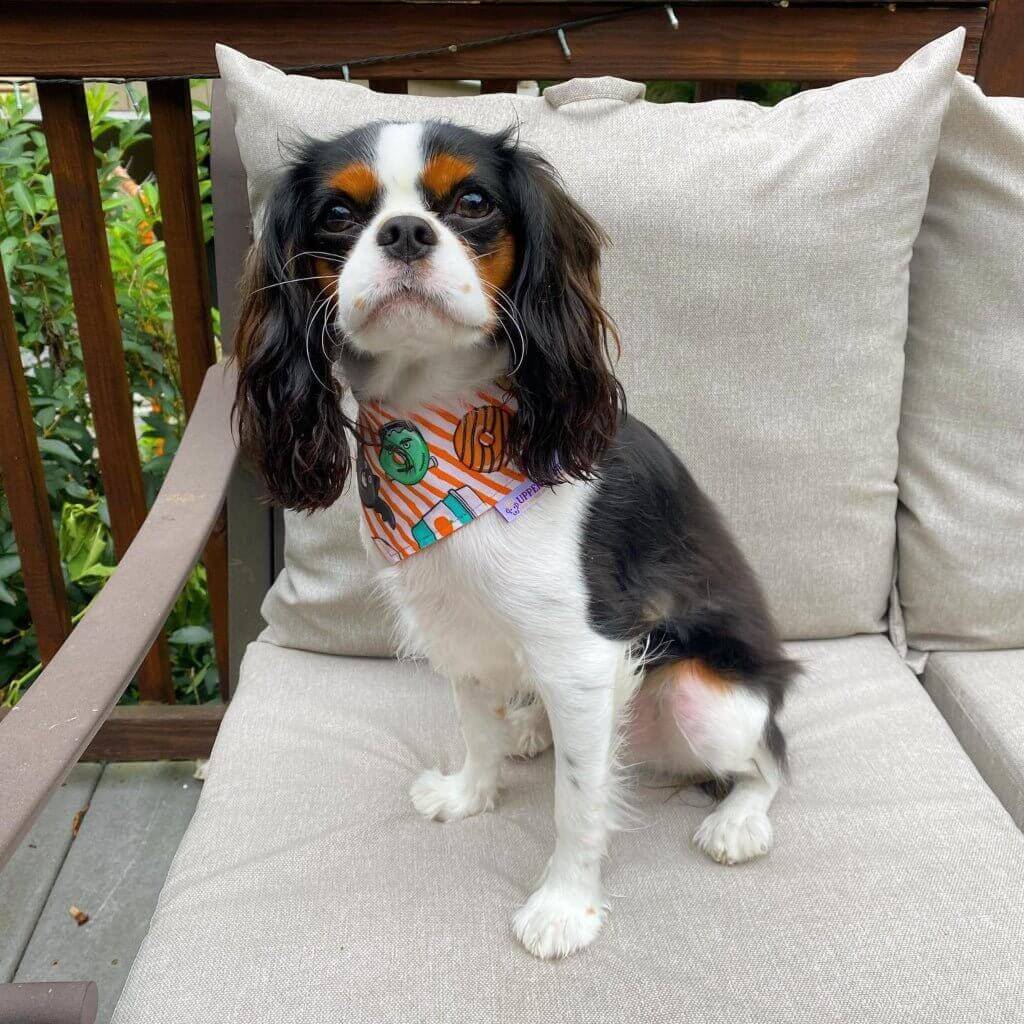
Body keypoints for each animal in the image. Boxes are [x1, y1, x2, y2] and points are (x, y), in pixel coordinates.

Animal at [234, 119, 798, 958]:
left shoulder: (584, 659)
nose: (404, 232)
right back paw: (531, 727)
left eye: (472, 202)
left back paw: (737, 819)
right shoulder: (453, 624)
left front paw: (565, 905)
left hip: (711, 696)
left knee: (770, 762)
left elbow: (578, 803)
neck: (442, 429)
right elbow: (475, 723)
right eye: (338, 214)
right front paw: (471, 792)